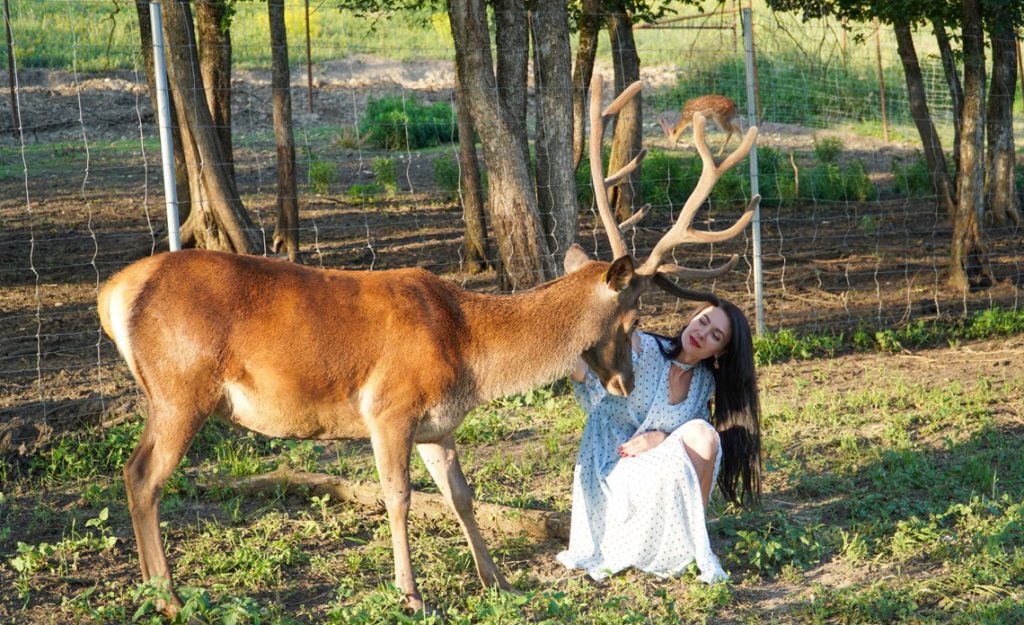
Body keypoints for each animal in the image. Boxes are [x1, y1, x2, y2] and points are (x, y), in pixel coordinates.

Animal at [96, 74, 759, 617]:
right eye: (634, 313)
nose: (625, 381)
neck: (469, 352)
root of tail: (111, 292)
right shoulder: (388, 408)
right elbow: (399, 498)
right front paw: (411, 594)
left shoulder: (436, 425)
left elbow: (461, 496)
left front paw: (496, 580)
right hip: (181, 388)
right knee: (144, 476)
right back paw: (169, 596)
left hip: (170, 394)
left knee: (133, 473)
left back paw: (154, 590)